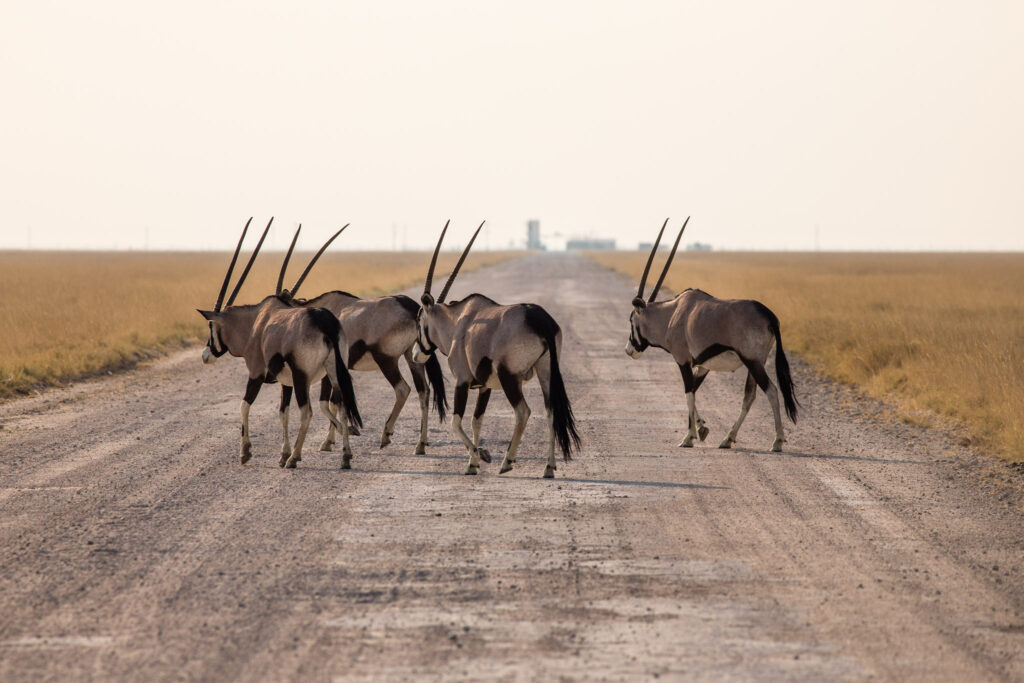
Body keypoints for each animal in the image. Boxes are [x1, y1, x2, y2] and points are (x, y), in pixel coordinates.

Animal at [197, 219, 362, 471]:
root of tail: (325, 322)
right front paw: (283, 454)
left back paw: (296, 458)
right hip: (332, 372)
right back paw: (344, 456)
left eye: (211, 325)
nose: (206, 355)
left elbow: (244, 405)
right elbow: (283, 413)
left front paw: (246, 452)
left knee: (307, 412)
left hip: (303, 377)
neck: (255, 323)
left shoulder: (256, 373)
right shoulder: (286, 382)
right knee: (341, 406)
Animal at [272, 228, 448, 458]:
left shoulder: (330, 369)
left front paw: (343, 434)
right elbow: (334, 402)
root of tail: (409, 305)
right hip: (413, 356)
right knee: (424, 391)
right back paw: (420, 445)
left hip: (386, 359)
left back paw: (386, 435)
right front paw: (330, 441)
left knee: (403, 389)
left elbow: (325, 404)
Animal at [411, 222, 581, 479]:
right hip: (546, 372)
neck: (457, 323)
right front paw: (472, 463)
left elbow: (455, 423)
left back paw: (507, 462)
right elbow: (476, 421)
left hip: (509, 376)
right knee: (550, 412)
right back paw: (548, 468)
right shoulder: (485, 386)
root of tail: (541, 321)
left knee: (523, 411)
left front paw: (480, 456)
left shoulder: (462, 381)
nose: (415, 354)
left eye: (420, 320)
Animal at [622, 220, 798, 454]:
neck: (672, 315)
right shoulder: (703, 364)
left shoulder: (683, 360)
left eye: (631, 319)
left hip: (752, 361)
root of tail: (769, 315)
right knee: (749, 397)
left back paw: (777, 441)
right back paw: (727, 439)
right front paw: (701, 428)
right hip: (756, 362)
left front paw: (689, 437)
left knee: (770, 391)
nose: (629, 349)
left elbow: (688, 393)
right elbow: (693, 391)